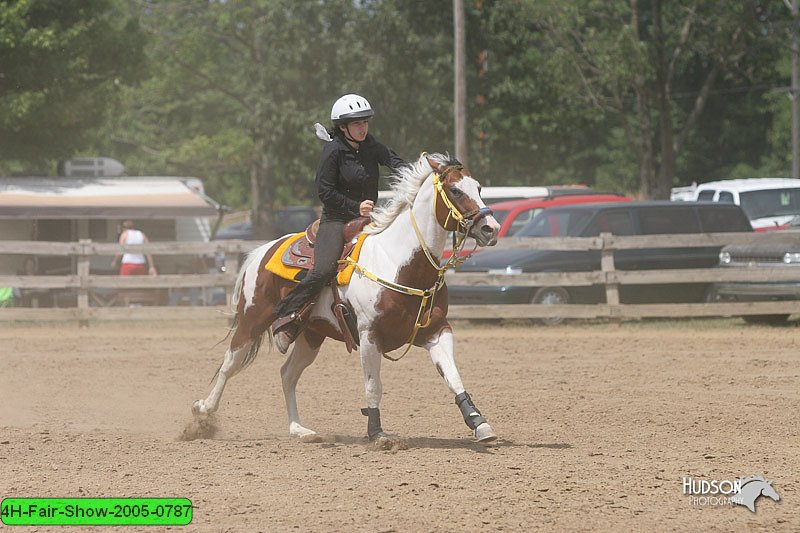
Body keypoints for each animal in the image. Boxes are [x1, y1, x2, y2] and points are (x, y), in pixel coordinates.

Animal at [192, 152, 500, 442]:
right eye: (455, 190)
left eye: (478, 187)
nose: (491, 228)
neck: (398, 263)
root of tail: (262, 251)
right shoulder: (369, 334)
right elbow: (373, 385)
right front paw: (376, 433)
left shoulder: (436, 331)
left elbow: (453, 375)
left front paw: (479, 422)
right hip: (252, 320)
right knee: (229, 365)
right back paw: (202, 412)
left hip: (311, 335)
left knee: (287, 374)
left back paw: (299, 430)